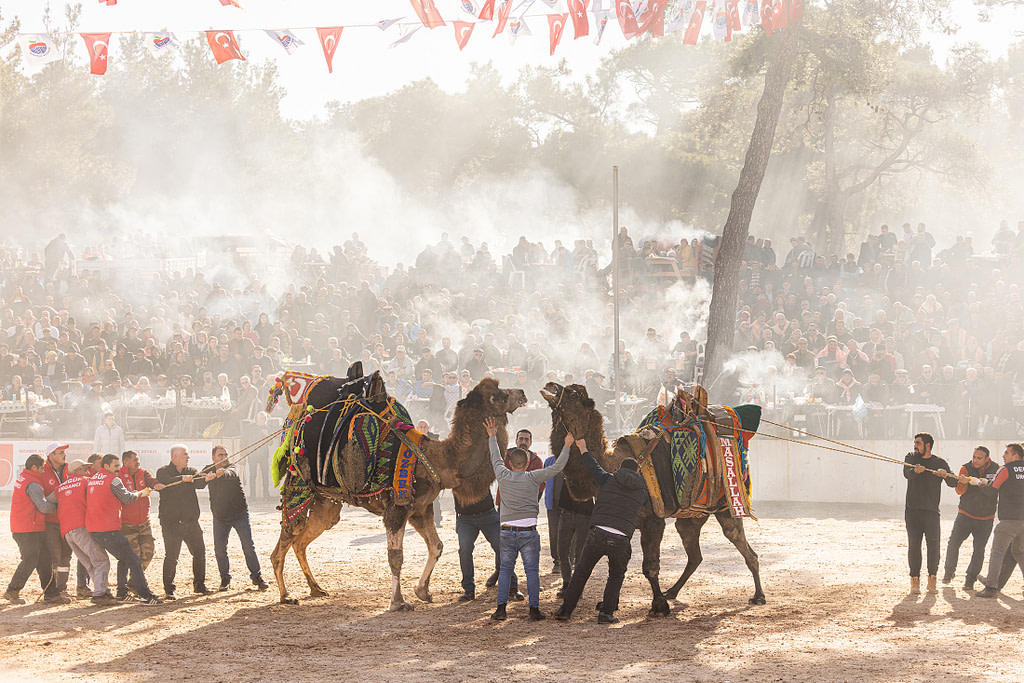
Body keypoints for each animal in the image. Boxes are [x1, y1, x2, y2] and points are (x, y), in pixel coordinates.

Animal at [270, 374, 528, 610]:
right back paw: (285, 595)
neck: (439, 460)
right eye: (499, 395)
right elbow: (396, 557)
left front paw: (423, 591)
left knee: (302, 540)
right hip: (299, 486)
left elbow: (436, 546)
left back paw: (316, 588)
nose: (522, 392)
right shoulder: (397, 508)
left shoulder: (420, 509)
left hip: (326, 502)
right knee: (286, 537)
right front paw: (398, 602)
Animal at [540, 382, 765, 618]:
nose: (549, 385)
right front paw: (612, 604)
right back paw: (672, 591)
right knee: (694, 553)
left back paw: (759, 595)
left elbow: (650, 566)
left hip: (725, 506)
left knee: (742, 545)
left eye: (573, 394)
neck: (615, 465)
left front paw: (658, 606)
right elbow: (621, 562)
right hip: (692, 515)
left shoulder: (652, 520)